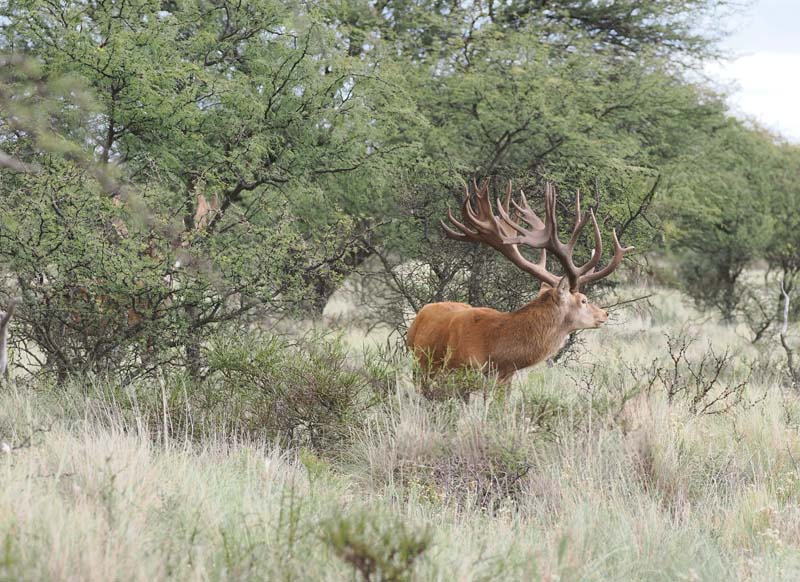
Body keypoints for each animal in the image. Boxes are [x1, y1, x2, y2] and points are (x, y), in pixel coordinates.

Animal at [406, 180, 633, 384]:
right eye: (583, 300)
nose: (604, 313)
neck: (496, 351)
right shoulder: (461, 374)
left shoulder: (506, 379)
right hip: (418, 367)